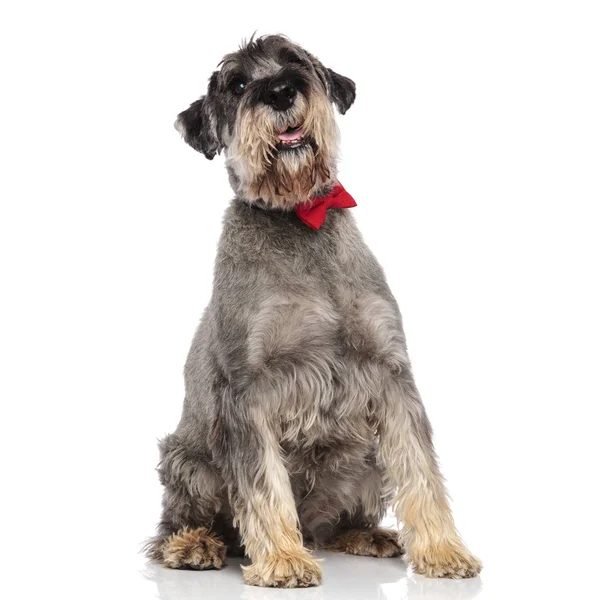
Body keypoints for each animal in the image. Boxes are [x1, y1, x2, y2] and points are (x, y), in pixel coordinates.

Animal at [146, 35, 482, 588]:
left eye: (295, 60)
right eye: (237, 84)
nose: (281, 91)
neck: (299, 218)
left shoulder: (389, 371)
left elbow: (421, 469)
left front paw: (442, 549)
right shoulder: (248, 389)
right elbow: (263, 484)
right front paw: (282, 560)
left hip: (365, 457)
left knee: (333, 523)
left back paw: (365, 534)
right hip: (187, 461)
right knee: (179, 522)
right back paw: (194, 544)